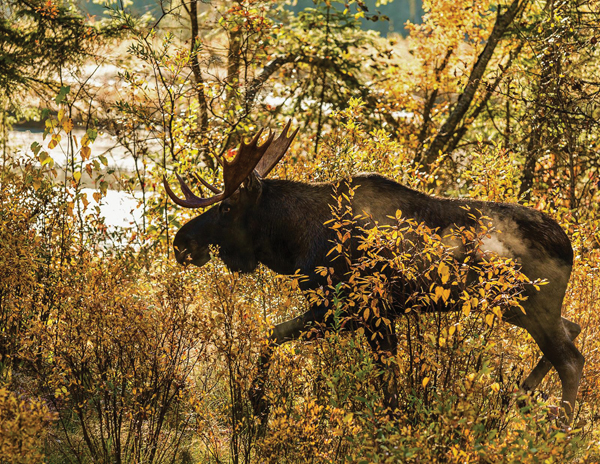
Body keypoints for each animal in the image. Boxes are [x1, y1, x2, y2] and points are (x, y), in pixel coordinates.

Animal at [163, 122, 580, 424]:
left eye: (226, 208)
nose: (181, 242)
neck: (295, 240)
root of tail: (570, 248)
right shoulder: (368, 315)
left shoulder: (350, 308)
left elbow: (275, 334)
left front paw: (258, 405)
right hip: (515, 309)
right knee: (573, 330)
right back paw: (523, 396)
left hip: (531, 305)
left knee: (572, 360)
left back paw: (560, 428)